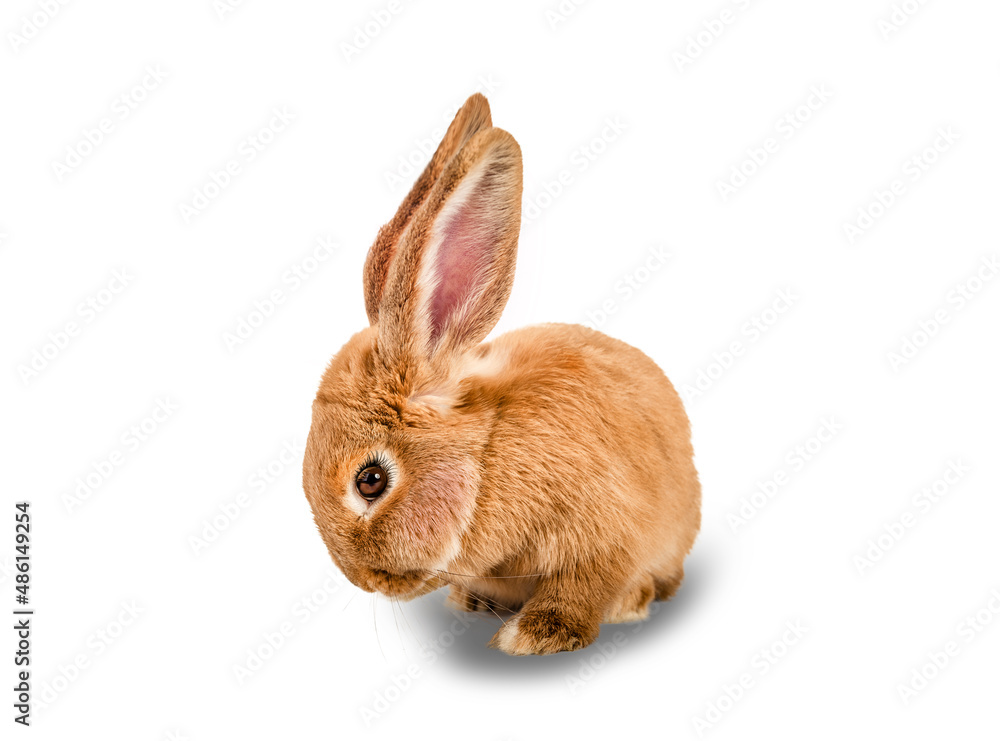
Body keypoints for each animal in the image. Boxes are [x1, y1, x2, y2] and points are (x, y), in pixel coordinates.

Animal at [302, 93, 700, 655]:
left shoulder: (606, 530)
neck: (486, 455)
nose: (367, 580)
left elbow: (584, 586)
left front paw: (535, 635)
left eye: (370, 481)